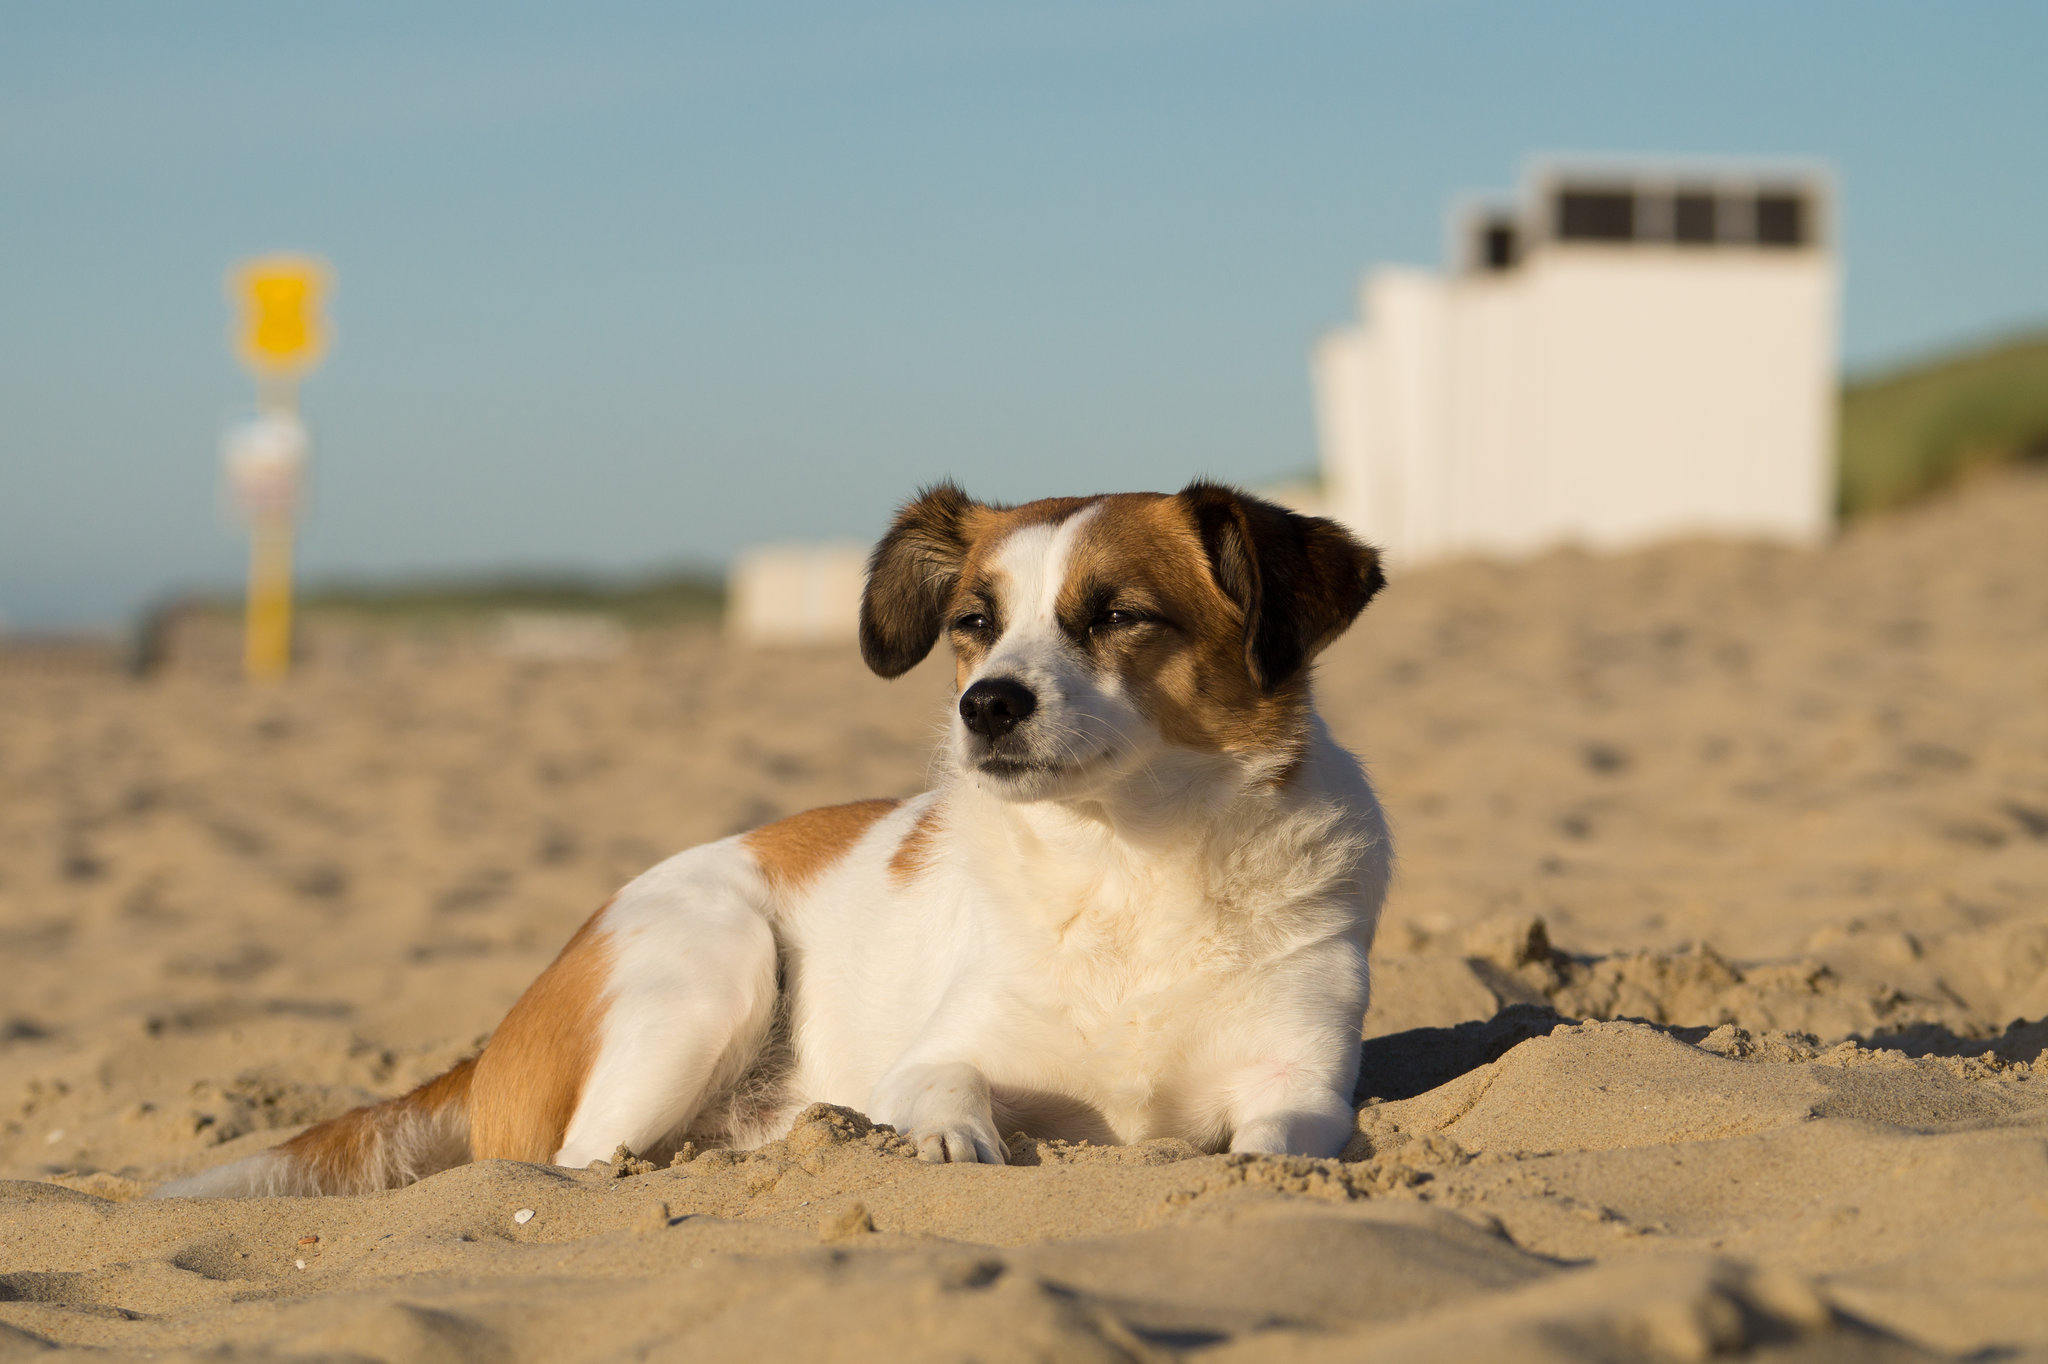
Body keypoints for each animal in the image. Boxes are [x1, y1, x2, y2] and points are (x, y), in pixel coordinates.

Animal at [155, 477, 1392, 1187]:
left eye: (1122, 614)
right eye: (973, 621)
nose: (983, 704)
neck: (1123, 857)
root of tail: (502, 1028)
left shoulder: (1300, 1083)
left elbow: (1278, 1140)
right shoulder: (938, 1052)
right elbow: (946, 1094)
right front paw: (948, 1141)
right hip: (715, 956)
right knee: (579, 1164)